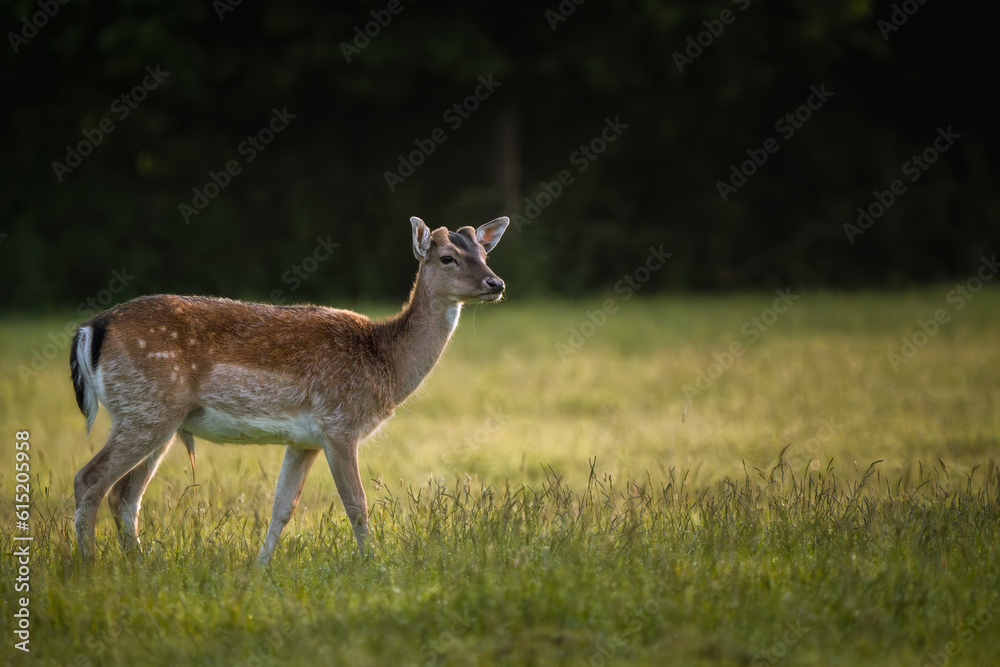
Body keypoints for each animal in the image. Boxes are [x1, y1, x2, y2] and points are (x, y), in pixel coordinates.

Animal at [70, 218, 508, 564]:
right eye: (447, 257)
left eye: (484, 252)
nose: (496, 282)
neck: (385, 363)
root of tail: (91, 328)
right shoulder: (339, 424)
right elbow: (357, 505)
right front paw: (373, 565)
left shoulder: (304, 440)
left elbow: (282, 507)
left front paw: (259, 569)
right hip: (145, 409)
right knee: (89, 480)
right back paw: (87, 567)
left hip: (158, 419)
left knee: (124, 496)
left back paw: (139, 564)